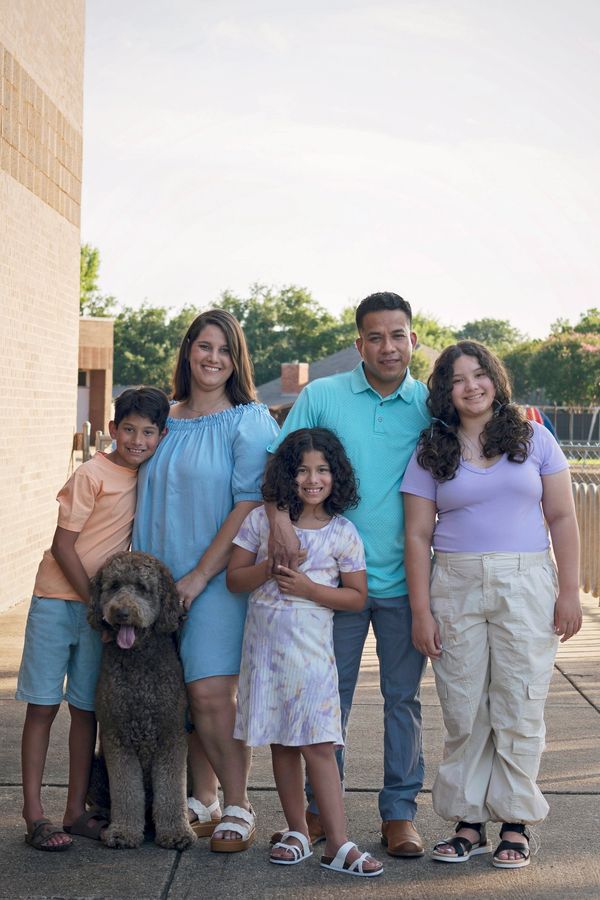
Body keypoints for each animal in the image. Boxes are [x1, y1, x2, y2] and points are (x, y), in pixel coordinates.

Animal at [88, 548, 196, 852]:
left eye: (142, 588)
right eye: (114, 586)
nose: (122, 612)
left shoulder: (172, 735)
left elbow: (171, 792)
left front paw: (176, 833)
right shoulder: (116, 737)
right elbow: (126, 792)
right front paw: (123, 832)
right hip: (95, 768)